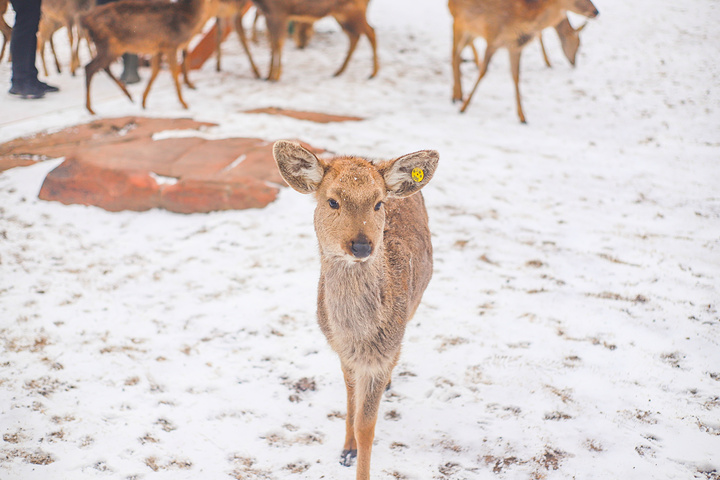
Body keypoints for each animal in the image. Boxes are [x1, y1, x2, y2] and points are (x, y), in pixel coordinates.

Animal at [80, 0, 217, 114]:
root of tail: (85, 20)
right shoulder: (171, 45)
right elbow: (174, 73)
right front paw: (184, 104)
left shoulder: (159, 49)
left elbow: (155, 71)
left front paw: (144, 102)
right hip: (108, 45)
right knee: (89, 67)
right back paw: (90, 109)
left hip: (110, 48)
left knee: (103, 68)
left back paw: (129, 96)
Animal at [252, 0, 380, 81]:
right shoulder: (269, 14)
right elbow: (273, 44)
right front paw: (268, 75)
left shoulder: (278, 12)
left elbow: (278, 43)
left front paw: (275, 76)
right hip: (343, 16)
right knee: (355, 36)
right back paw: (339, 71)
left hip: (354, 11)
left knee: (371, 31)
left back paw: (373, 73)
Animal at [272, 142, 436, 480]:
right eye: (332, 200)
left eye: (378, 203)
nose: (361, 245)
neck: (358, 338)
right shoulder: (341, 351)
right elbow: (350, 403)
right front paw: (346, 450)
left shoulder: (379, 357)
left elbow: (366, 427)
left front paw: (357, 457)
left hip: (415, 304)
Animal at [450, 0, 600, 122]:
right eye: (578, 44)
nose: (596, 11)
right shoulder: (493, 37)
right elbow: (483, 72)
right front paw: (463, 108)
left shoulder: (515, 47)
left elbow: (516, 77)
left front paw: (522, 117)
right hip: (460, 23)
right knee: (455, 54)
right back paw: (457, 96)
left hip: (469, 30)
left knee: (456, 54)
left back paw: (457, 94)